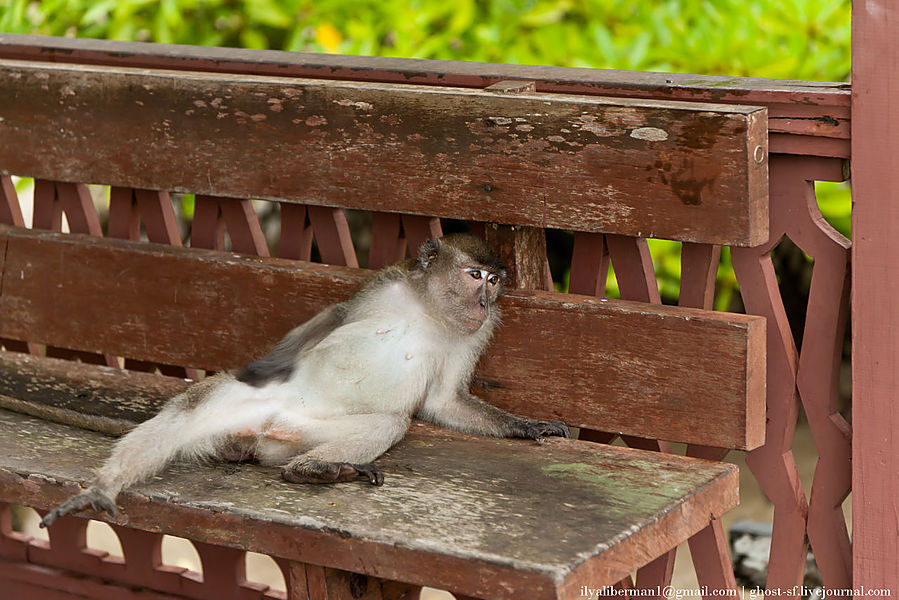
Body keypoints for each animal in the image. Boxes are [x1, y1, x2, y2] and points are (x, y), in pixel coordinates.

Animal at [40, 233, 568, 524]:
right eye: (474, 274)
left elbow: (442, 401)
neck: (430, 310)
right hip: (244, 405)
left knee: (387, 423)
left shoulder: (480, 331)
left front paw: (530, 427)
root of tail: (260, 431)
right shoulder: (387, 281)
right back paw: (104, 486)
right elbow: (336, 315)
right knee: (195, 408)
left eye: (494, 281)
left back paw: (315, 469)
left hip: (293, 436)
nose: (484, 300)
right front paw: (267, 362)